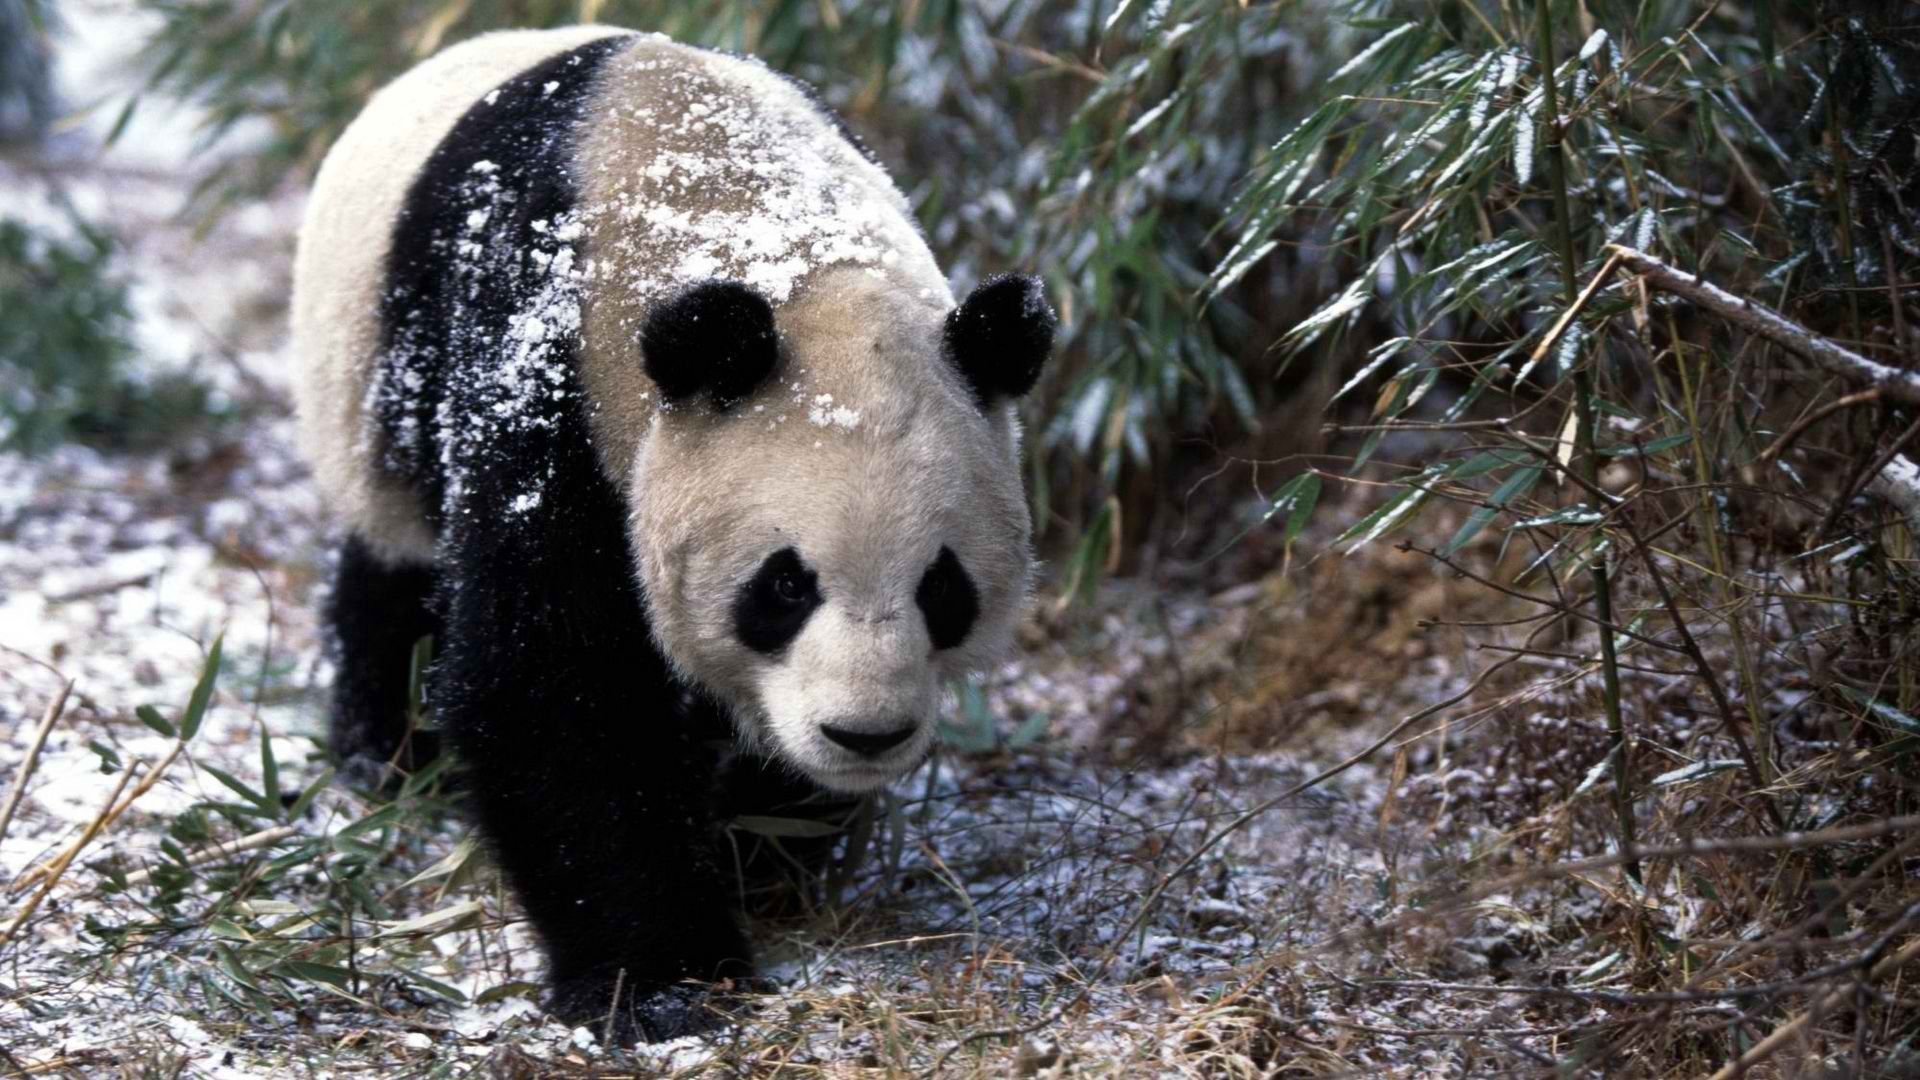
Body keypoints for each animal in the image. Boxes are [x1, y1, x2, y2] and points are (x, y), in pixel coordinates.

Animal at [291, 27, 1059, 1045]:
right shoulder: (544, 375)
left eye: (943, 586)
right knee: (397, 568)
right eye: (784, 586)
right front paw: (664, 980)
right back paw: (390, 751)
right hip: (372, 393)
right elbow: (555, 685)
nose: (865, 733)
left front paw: (763, 851)